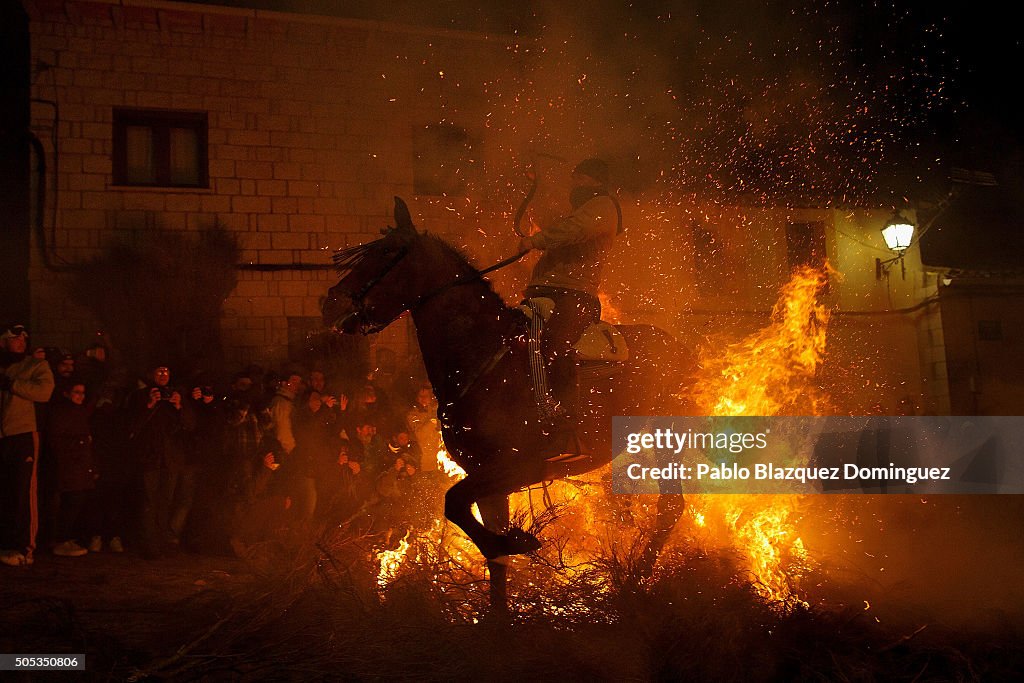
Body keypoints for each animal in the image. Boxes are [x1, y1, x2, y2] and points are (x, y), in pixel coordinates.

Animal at [323, 198, 684, 610]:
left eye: (386, 252)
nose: (330, 303)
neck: (484, 359)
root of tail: (677, 346)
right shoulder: (486, 478)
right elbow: (491, 553)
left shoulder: (515, 468)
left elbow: (453, 502)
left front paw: (517, 539)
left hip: (666, 438)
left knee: (670, 508)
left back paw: (636, 580)